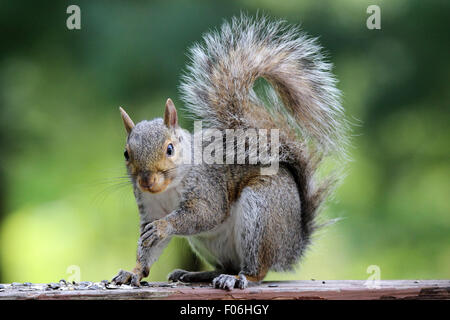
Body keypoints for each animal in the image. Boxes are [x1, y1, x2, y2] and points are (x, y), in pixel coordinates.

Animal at [110, 15, 348, 290]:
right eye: (126, 154)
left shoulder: (208, 187)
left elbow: (204, 214)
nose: (147, 181)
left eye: (170, 148)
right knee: (228, 265)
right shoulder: (149, 207)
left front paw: (163, 226)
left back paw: (237, 278)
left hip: (261, 213)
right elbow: (148, 248)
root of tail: (292, 246)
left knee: (256, 269)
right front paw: (133, 272)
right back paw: (197, 274)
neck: (168, 189)